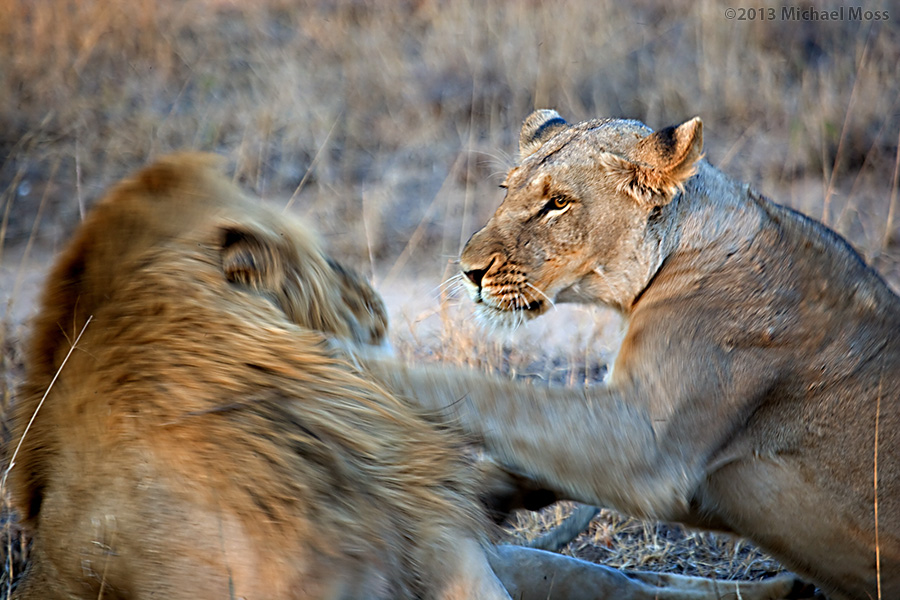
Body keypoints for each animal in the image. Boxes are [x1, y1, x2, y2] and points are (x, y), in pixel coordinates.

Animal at [361, 111, 899, 600]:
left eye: (558, 203)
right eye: (505, 189)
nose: (469, 271)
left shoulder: (646, 443)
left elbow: (489, 394)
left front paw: (359, 367)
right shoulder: (696, 481)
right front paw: (484, 491)